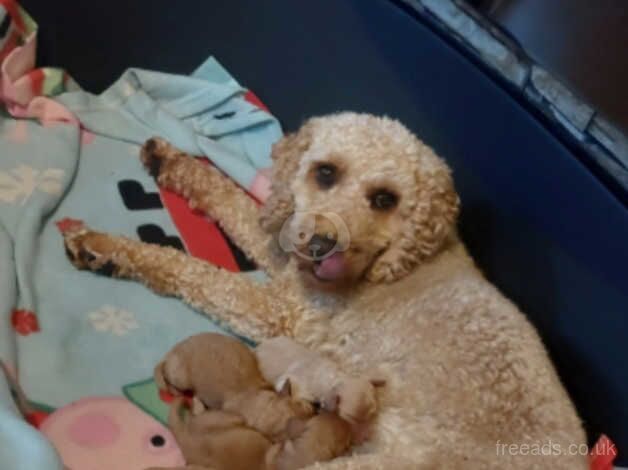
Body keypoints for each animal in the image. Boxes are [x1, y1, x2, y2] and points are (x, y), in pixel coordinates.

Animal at [254, 336, 382, 442]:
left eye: (373, 413)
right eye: (350, 418)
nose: (367, 437)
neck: (333, 380)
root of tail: (261, 344)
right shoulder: (293, 385)